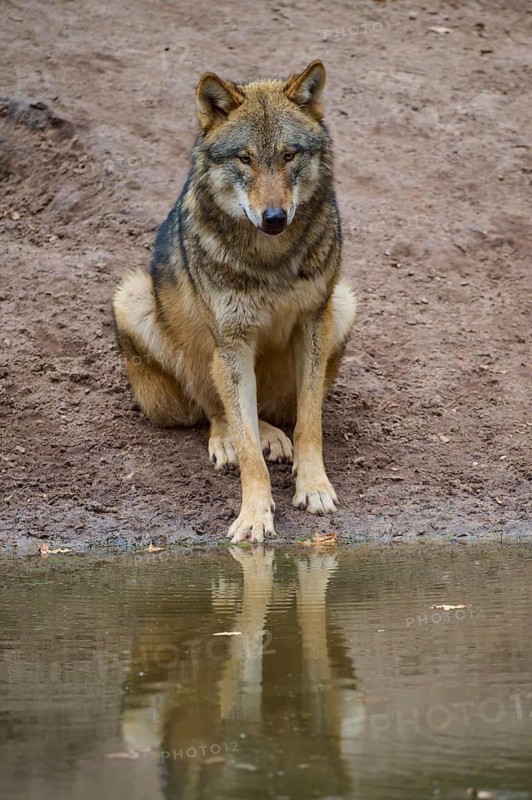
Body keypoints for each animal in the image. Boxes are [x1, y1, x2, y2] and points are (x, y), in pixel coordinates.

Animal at [112, 60, 357, 543]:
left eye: (288, 155)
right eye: (244, 158)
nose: (275, 218)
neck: (271, 259)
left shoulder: (312, 322)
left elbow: (310, 422)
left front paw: (314, 486)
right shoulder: (233, 341)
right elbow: (248, 451)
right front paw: (254, 515)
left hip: (342, 305)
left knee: (270, 411)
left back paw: (274, 435)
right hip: (133, 301)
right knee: (215, 407)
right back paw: (230, 437)